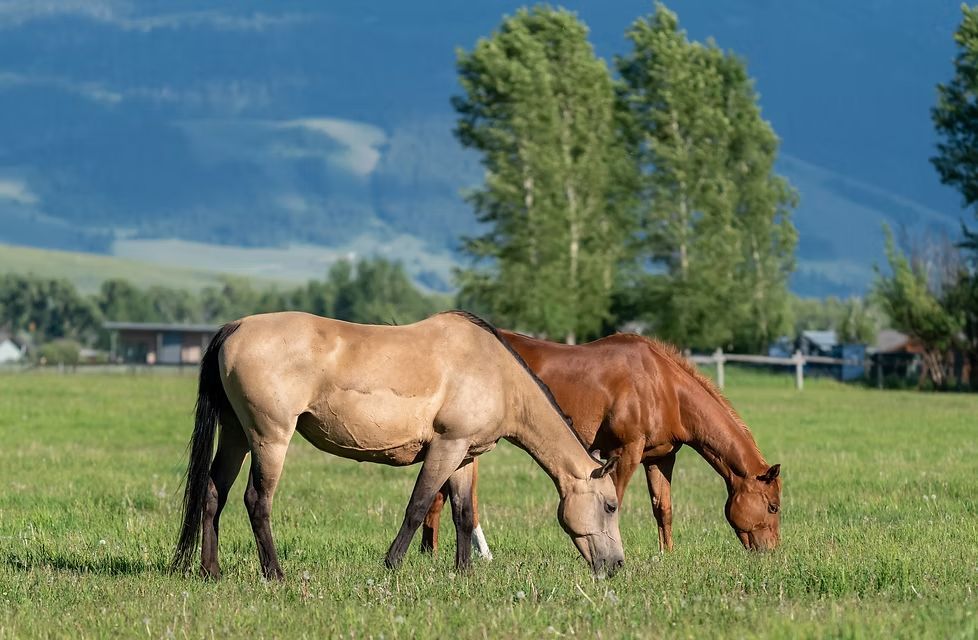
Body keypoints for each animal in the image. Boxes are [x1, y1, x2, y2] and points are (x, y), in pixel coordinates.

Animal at [171, 310, 625, 581]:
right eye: (610, 506)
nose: (617, 565)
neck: (496, 373)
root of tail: (234, 328)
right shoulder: (446, 448)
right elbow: (418, 506)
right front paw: (392, 564)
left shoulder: (464, 456)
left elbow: (463, 515)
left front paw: (463, 573)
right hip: (269, 439)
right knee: (256, 500)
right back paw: (275, 574)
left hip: (236, 435)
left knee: (213, 493)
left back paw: (210, 570)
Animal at [423, 330, 782, 556]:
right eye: (773, 507)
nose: (771, 553)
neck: (662, 385)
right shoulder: (625, 452)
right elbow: (616, 501)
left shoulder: (660, 458)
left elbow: (663, 508)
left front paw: (667, 554)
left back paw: (431, 551)